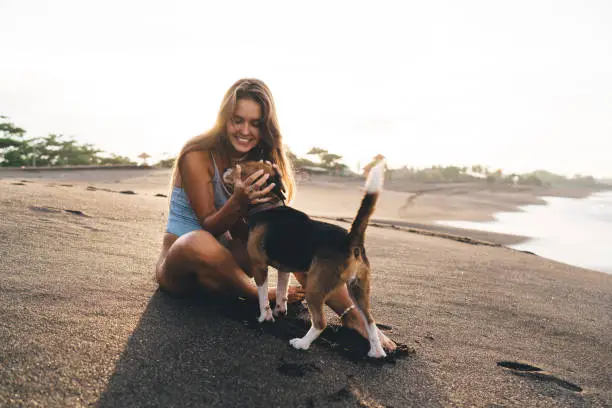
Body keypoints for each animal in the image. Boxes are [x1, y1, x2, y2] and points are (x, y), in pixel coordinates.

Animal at [224, 161, 388, 358]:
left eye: (238, 166)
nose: (225, 168)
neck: (268, 205)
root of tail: (350, 240)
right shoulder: (284, 268)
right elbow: (282, 291)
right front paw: (280, 310)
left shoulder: (259, 266)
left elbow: (263, 297)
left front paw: (265, 317)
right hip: (359, 290)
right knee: (370, 321)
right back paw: (377, 351)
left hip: (314, 289)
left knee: (320, 323)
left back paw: (301, 343)